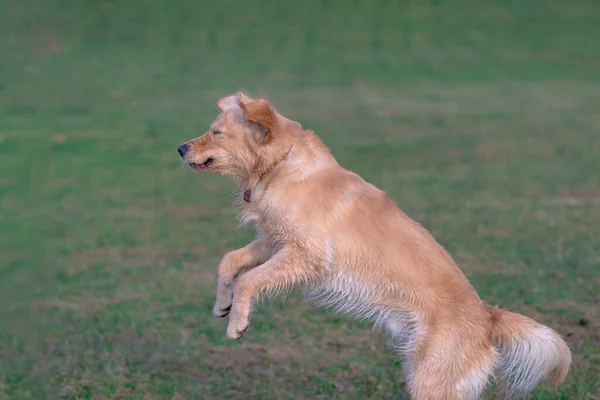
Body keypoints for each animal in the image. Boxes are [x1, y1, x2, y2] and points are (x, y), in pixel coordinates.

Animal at [176, 93, 568, 400]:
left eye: (216, 132)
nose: (179, 147)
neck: (280, 163)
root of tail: (488, 317)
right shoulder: (276, 241)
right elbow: (229, 261)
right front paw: (222, 304)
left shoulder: (308, 254)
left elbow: (250, 279)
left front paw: (238, 322)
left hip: (431, 382)